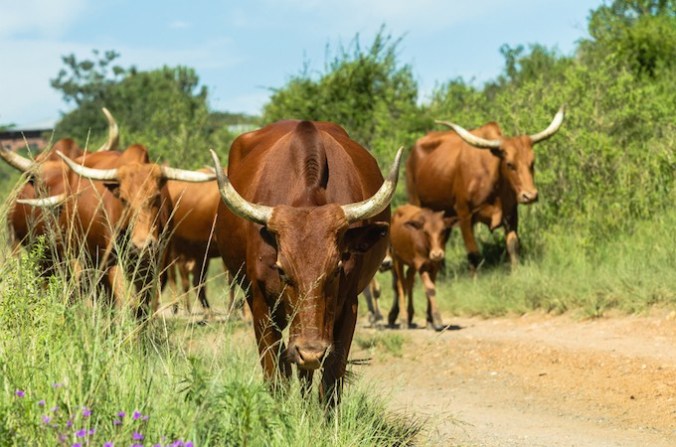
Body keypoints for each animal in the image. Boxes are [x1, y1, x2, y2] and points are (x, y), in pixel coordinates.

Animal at [15, 145, 215, 317]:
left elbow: (144, 306)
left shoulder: (157, 263)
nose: (142, 245)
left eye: (156, 197)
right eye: (124, 199)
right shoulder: (111, 262)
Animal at [209, 120, 403, 406]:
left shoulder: (348, 307)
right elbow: (276, 378)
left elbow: (330, 384)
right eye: (281, 270)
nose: (311, 352)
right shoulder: (261, 305)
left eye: (336, 269)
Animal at [407, 107, 564, 272]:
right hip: (416, 201)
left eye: (532, 163)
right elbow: (473, 253)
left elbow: (513, 246)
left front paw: (517, 272)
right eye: (509, 164)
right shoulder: (464, 214)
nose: (530, 195)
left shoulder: (511, 213)